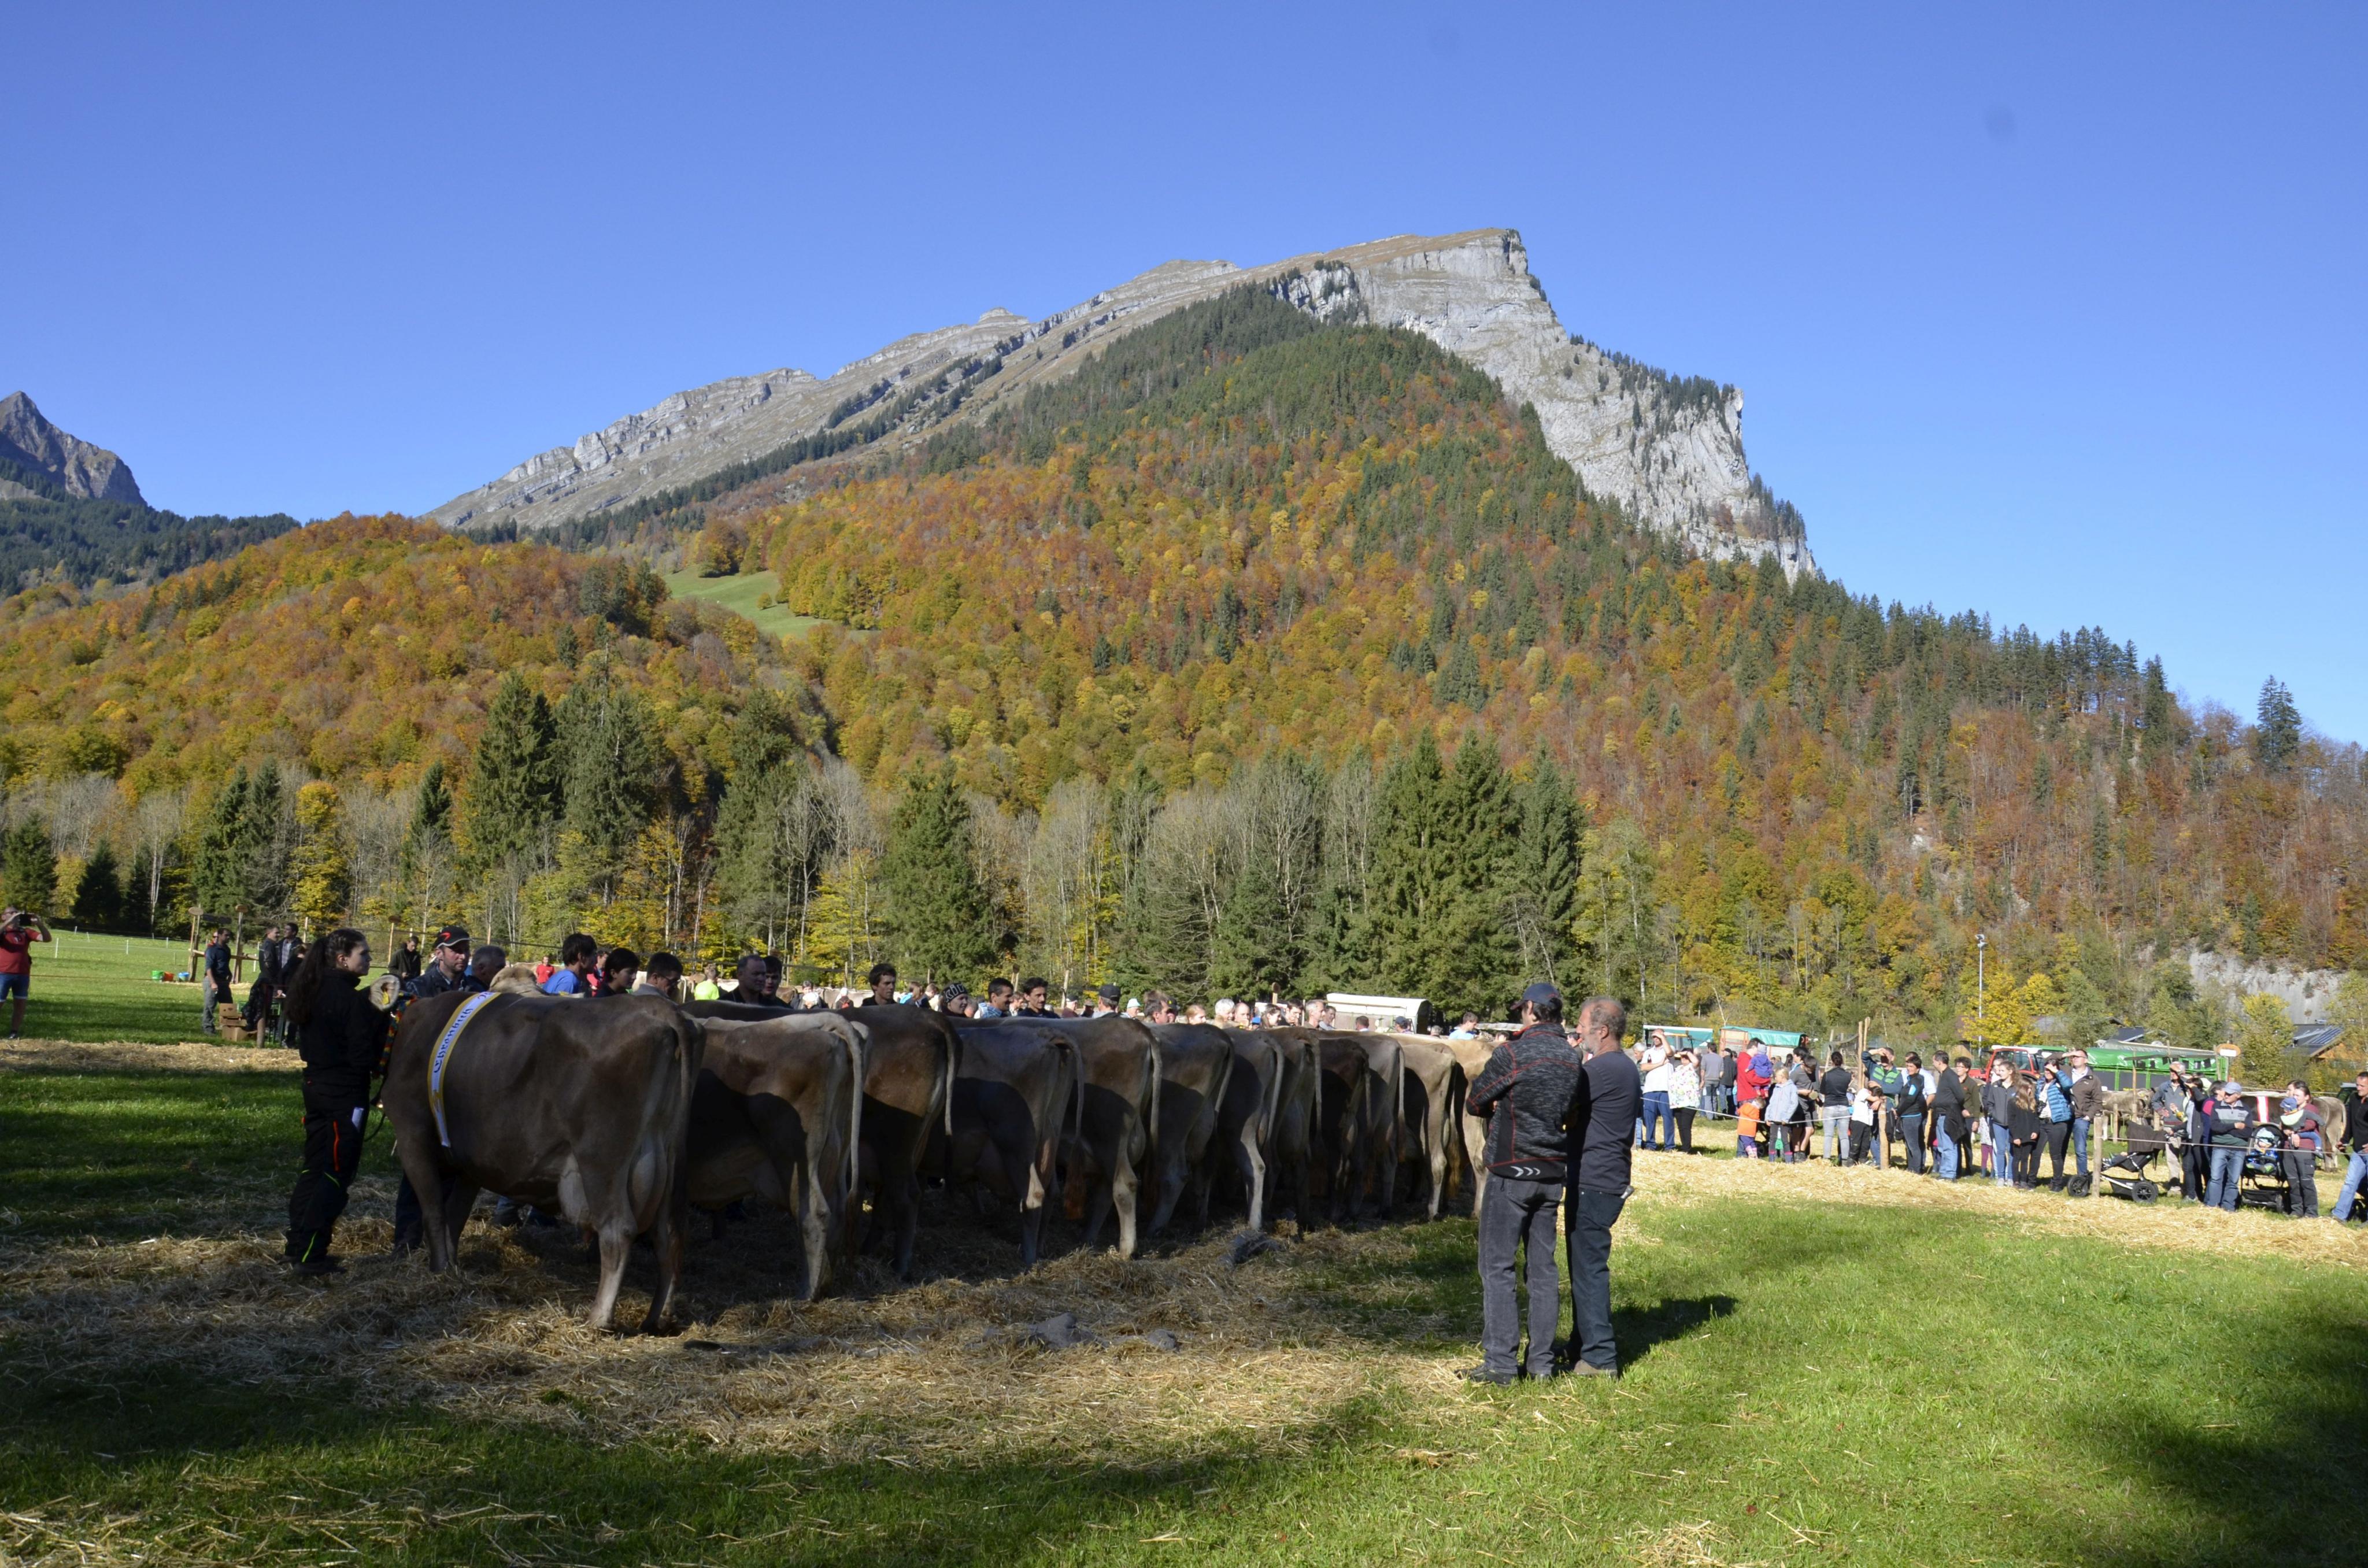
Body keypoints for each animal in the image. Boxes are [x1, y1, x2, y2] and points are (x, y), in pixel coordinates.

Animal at [382, 991, 701, 1334]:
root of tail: (660, 1009)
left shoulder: (412, 1132)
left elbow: (433, 1211)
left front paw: (439, 1269)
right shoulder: (471, 1161)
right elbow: (456, 1215)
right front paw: (452, 1267)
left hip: (601, 1157)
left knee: (619, 1230)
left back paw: (598, 1318)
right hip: (669, 1162)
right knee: (669, 1234)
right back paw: (658, 1318)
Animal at [683, 1009, 865, 1300]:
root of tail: (825, 1023)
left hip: (795, 1156)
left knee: (814, 1213)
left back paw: (807, 1293)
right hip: (838, 1150)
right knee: (837, 1209)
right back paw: (825, 1282)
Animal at [941, 1018, 1080, 1268]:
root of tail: (1046, 1035)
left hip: (1015, 1145)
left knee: (1034, 1194)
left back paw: (1029, 1258)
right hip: (1049, 1137)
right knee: (1051, 1190)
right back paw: (1040, 1247)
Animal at [1143, 1022, 1238, 1236]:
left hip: (1170, 1127)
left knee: (1175, 1176)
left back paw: (1155, 1228)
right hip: (1205, 1123)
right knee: (1204, 1168)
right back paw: (1199, 1220)